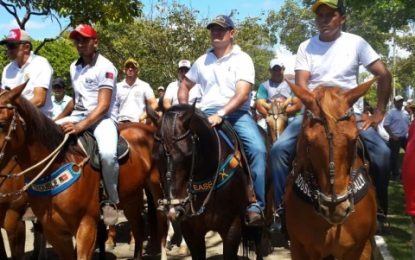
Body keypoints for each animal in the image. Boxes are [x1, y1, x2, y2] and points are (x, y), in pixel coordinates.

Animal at [0, 83, 167, 260]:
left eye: (2, 123)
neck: (56, 167)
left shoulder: (86, 224)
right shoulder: (54, 232)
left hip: (156, 187)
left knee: (161, 219)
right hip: (131, 195)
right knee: (138, 226)